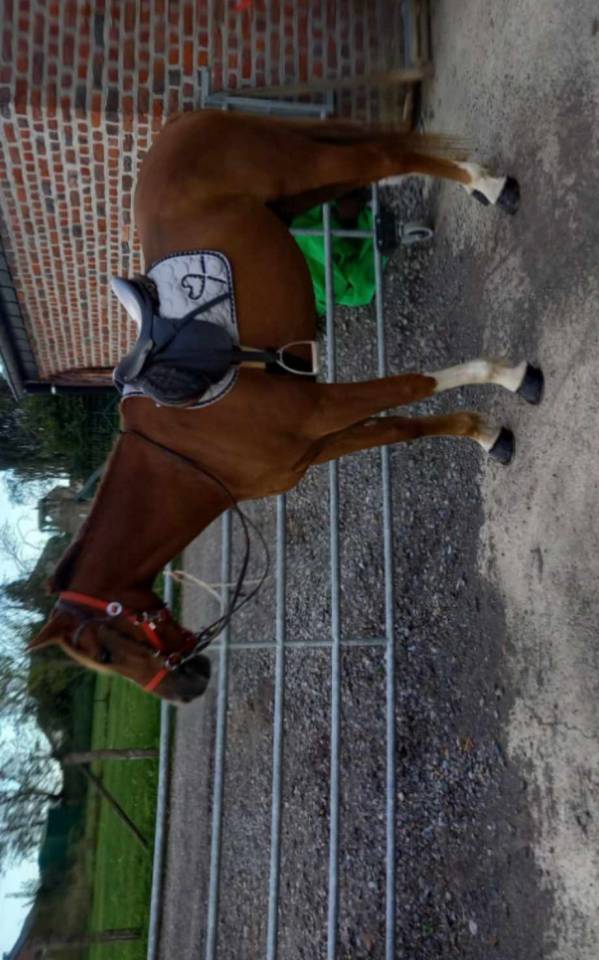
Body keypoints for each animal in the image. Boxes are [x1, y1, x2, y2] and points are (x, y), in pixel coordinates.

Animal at [28, 109, 543, 703]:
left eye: (106, 652)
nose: (189, 688)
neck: (193, 448)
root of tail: (185, 122)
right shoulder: (313, 446)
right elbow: (403, 428)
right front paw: (486, 434)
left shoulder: (320, 408)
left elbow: (416, 385)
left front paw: (513, 377)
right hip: (301, 193)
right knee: (377, 166)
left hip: (306, 169)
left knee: (385, 158)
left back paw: (493, 187)